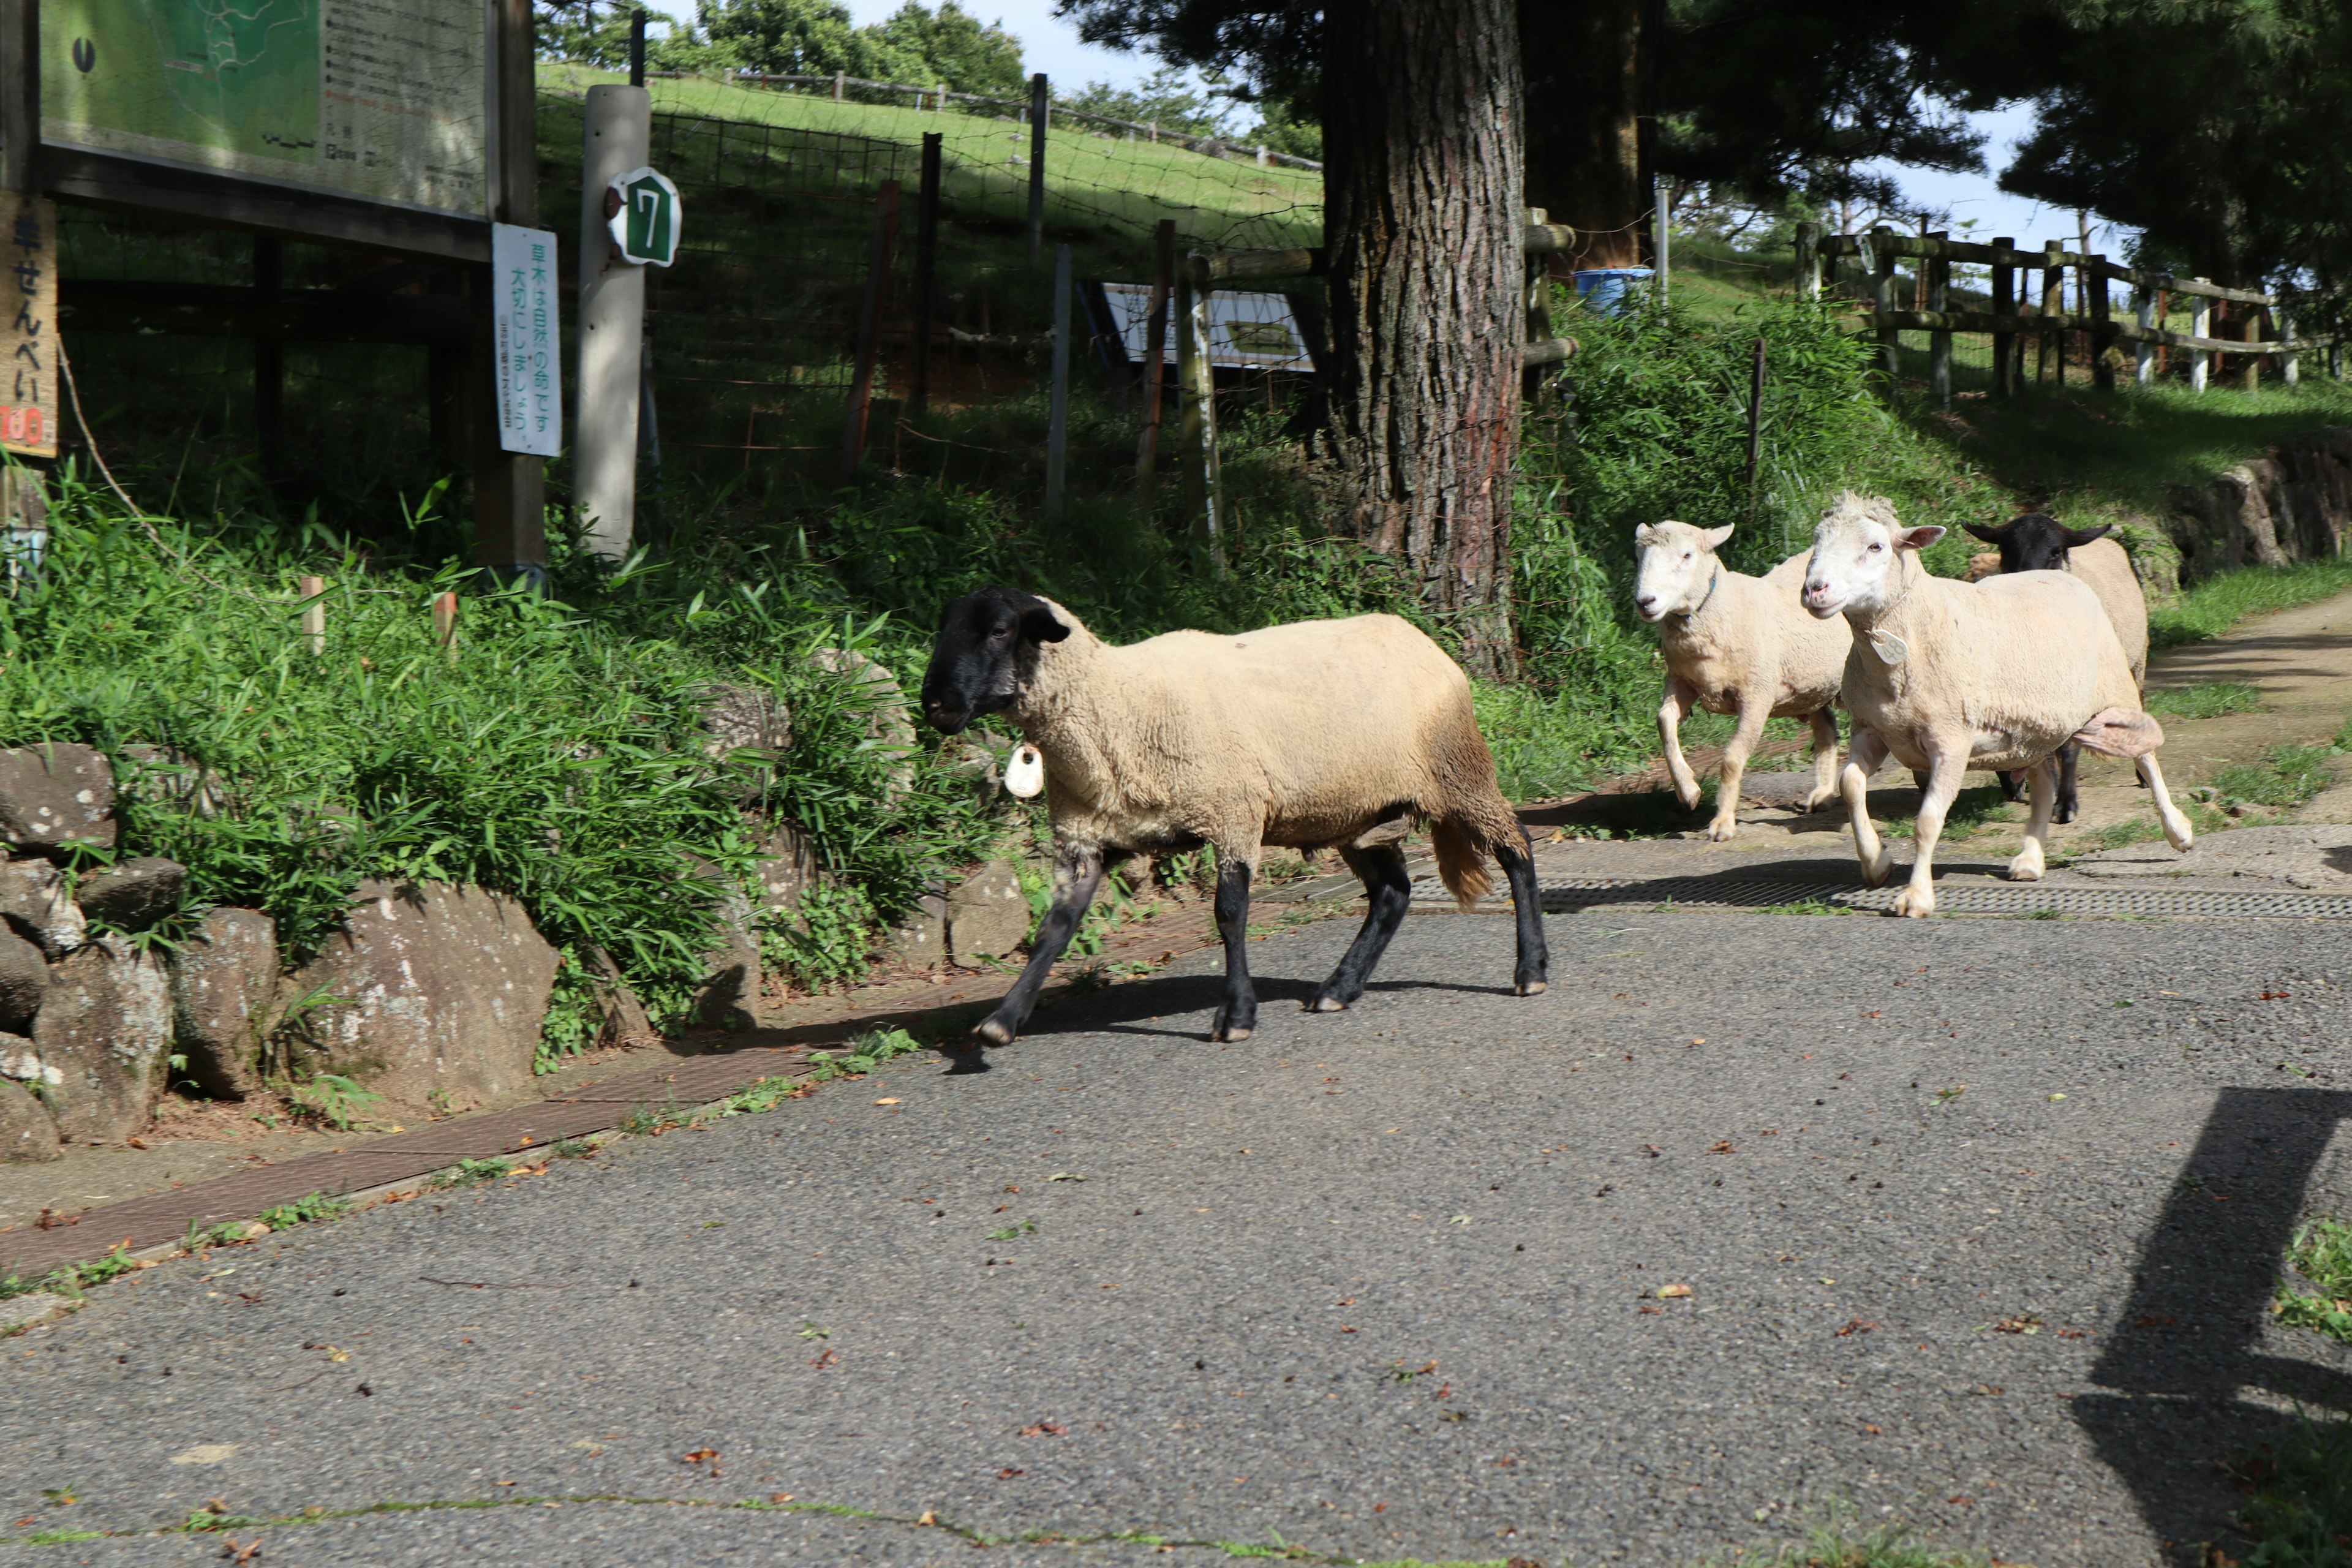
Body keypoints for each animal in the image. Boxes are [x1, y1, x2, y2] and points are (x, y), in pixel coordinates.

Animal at [922, 582, 1561, 1048]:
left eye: (1000, 631)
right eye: (942, 629)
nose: (936, 705)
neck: (1116, 706)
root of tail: (1415, 636)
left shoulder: (1233, 812)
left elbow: (1230, 915)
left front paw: (1237, 1016)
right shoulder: (1085, 838)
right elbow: (1055, 928)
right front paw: (1004, 1019)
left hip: (1458, 772)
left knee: (1517, 848)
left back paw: (1531, 970)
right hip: (1358, 810)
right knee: (1393, 894)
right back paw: (1339, 987)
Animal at [1637, 524, 1853, 846]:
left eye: (1687, 555)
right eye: (1639, 555)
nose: (1645, 602)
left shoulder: (1757, 695)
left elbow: (1731, 759)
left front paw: (1722, 823)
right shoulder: (1683, 680)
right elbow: (1664, 722)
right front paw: (1688, 792)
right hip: (1812, 686)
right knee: (1827, 731)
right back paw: (1823, 794)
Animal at [1966, 517, 2154, 832]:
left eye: (2056, 551)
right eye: (2005, 550)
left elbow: (2067, 749)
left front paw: (2066, 805)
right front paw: (2018, 784)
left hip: (2135, 660)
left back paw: (2142, 775)